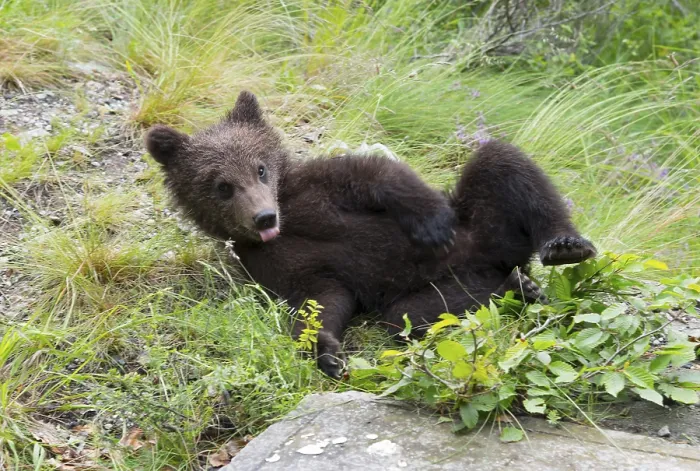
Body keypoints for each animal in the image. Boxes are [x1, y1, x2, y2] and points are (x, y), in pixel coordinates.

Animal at [145, 90, 597, 379]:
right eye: (222, 186)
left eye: (260, 168)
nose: (263, 217)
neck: (289, 223)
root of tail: (497, 256)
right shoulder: (272, 265)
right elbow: (319, 299)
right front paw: (326, 352)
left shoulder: (320, 187)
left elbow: (378, 175)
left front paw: (434, 224)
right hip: (441, 287)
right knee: (415, 314)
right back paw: (518, 288)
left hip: (488, 220)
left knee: (501, 161)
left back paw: (564, 246)